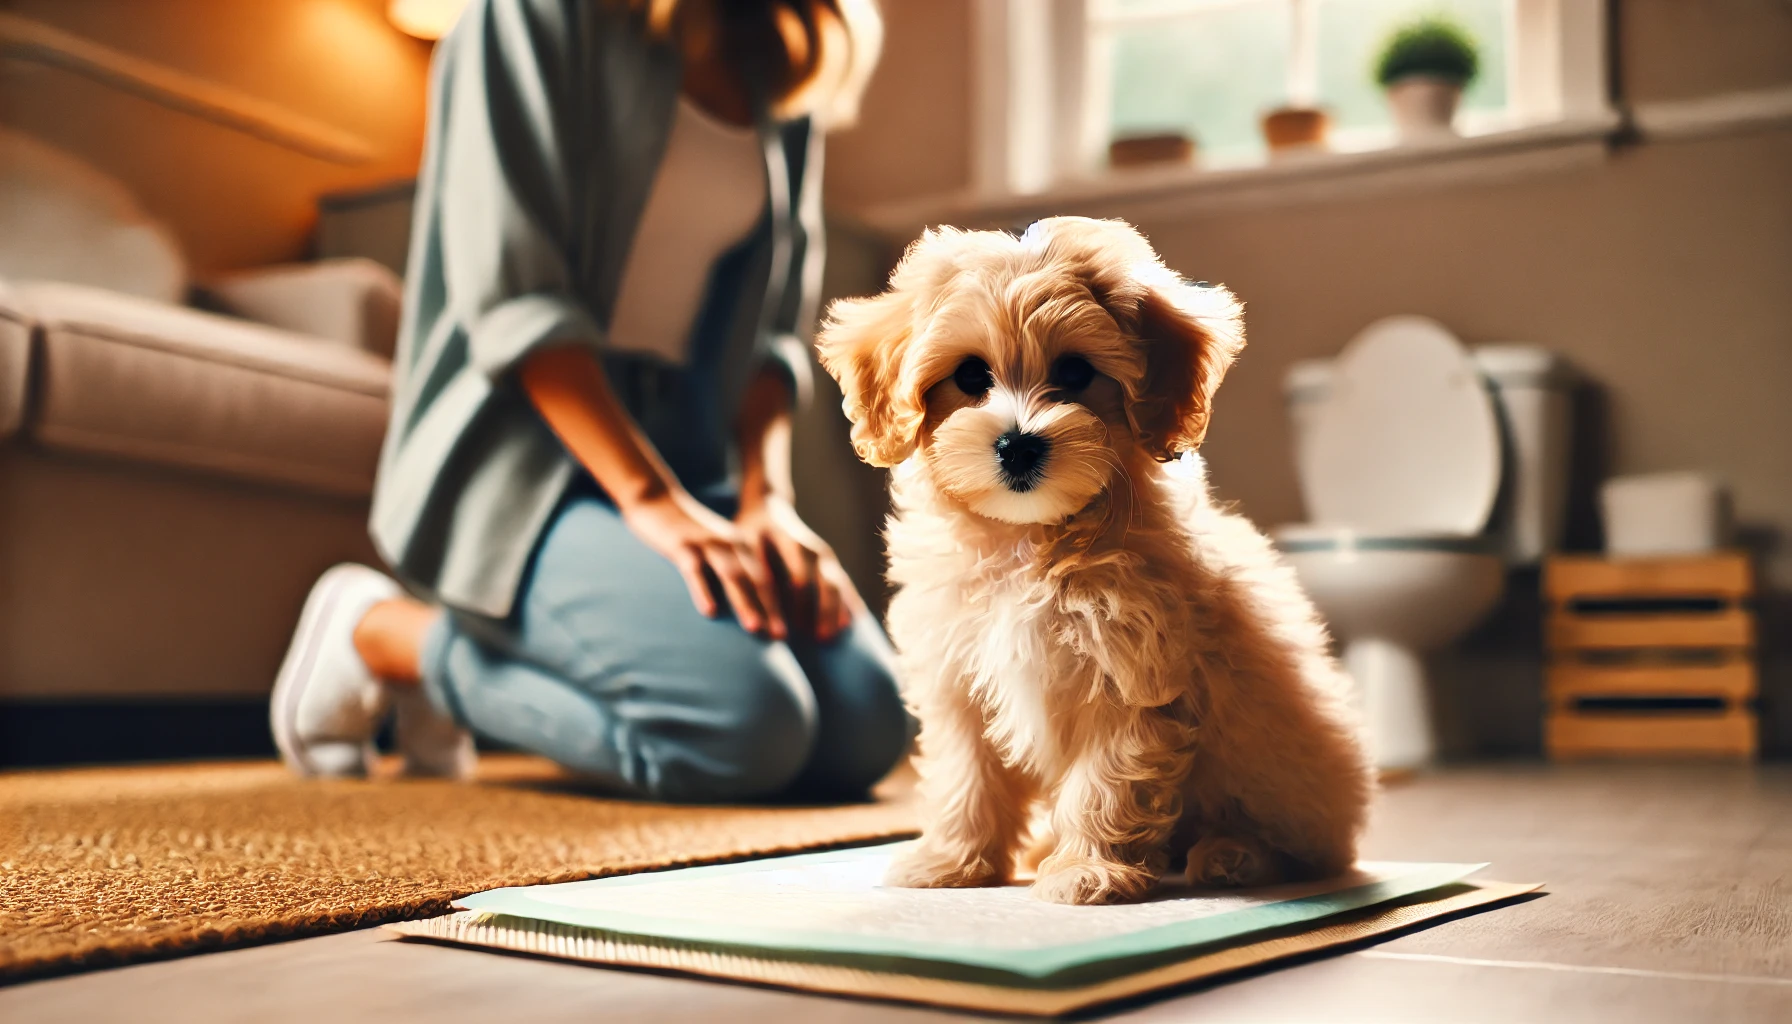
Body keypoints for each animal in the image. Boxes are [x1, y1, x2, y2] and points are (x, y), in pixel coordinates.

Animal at [817, 216, 1369, 903]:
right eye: (970, 377)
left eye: (1076, 373)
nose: (1019, 445)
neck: (1029, 539)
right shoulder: (956, 677)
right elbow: (964, 776)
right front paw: (950, 862)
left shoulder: (1132, 673)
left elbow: (1104, 780)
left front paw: (1086, 871)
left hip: (1281, 771)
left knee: (1300, 847)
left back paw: (1231, 854)